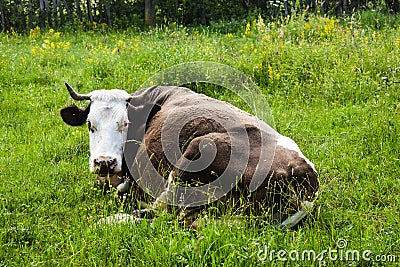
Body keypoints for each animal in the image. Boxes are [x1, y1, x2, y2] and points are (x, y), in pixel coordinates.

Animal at [61, 83, 318, 228]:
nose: (104, 162)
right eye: (90, 124)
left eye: (125, 123)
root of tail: (304, 174)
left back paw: (110, 220)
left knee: (165, 216)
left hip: (194, 157)